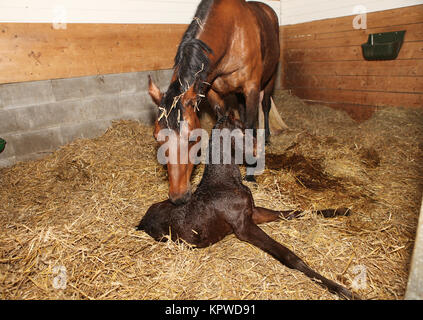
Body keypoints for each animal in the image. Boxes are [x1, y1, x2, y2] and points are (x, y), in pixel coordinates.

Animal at [139, 115, 358, 300]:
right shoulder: (244, 227)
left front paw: (340, 211)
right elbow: (289, 255)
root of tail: (142, 222)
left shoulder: (254, 213)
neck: (224, 184)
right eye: (242, 132)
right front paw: (343, 290)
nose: (260, 151)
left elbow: (293, 212)